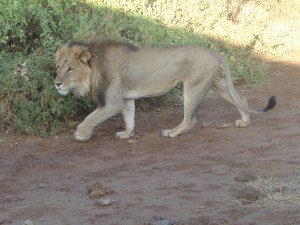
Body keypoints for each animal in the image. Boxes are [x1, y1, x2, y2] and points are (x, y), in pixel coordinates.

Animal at [54, 38, 276, 142]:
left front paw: (81, 134)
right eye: (58, 67)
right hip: (218, 84)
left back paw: (172, 132)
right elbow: (129, 117)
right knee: (242, 99)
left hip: (193, 87)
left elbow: (90, 118)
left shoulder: (112, 103)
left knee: (190, 120)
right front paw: (127, 134)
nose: (56, 83)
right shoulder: (125, 98)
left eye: (70, 69)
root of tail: (215, 53)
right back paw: (245, 121)